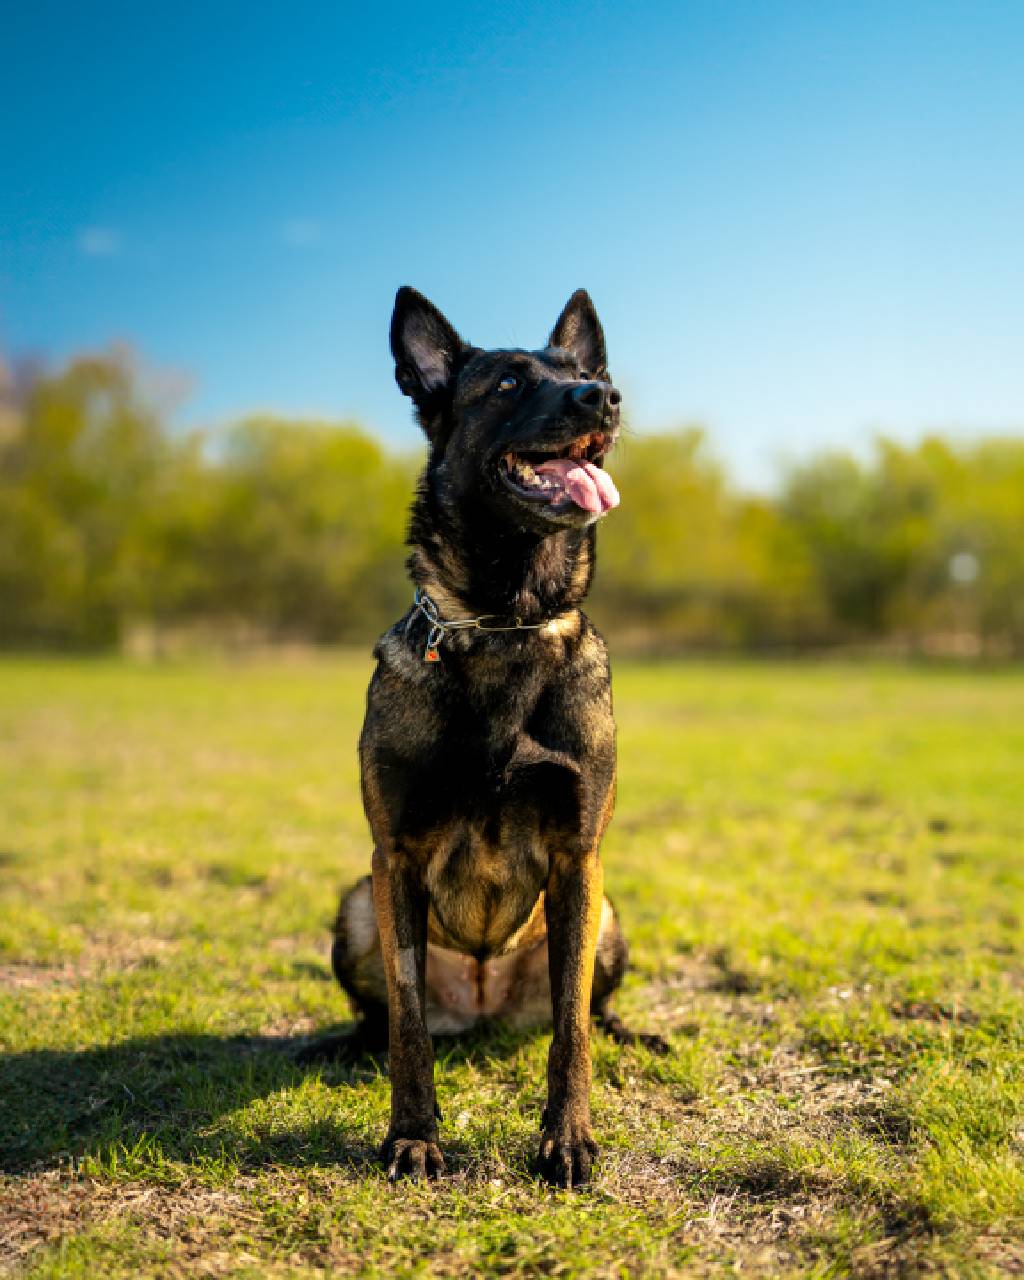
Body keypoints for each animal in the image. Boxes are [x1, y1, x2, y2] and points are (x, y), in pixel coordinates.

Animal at [298, 285, 665, 1182]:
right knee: (383, 1019)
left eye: (579, 370)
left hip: (607, 916)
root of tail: (486, 1005)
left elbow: (570, 1031)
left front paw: (567, 1139)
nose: (604, 397)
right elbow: (407, 1026)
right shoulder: (393, 859)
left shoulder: (578, 857)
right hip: (358, 905)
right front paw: (413, 1136)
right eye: (506, 384)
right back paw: (341, 1045)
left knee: (590, 1012)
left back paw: (631, 1032)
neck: (505, 623)